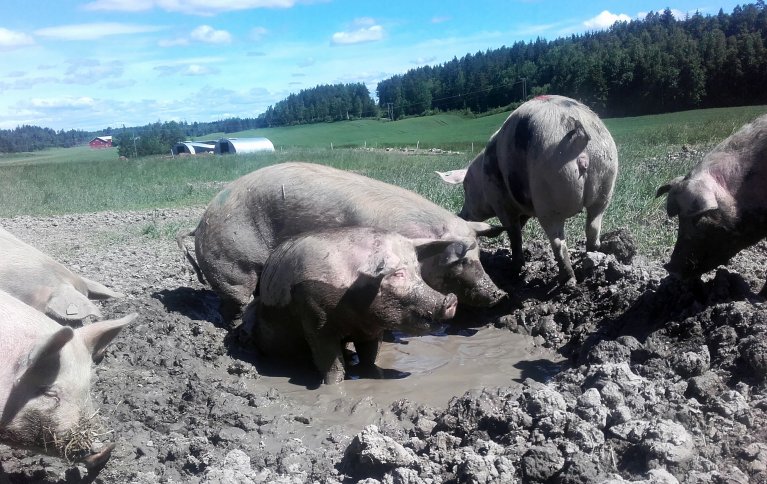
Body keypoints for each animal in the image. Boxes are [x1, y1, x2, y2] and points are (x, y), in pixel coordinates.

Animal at [177, 163, 508, 322]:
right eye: (458, 260)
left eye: (480, 255)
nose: (499, 293)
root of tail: (199, 225)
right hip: (232, 268)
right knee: (234, 304)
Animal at [242, 228, 456, 386]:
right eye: (398, 274)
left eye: (418, 271)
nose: (451, 300)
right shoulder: (315, 320)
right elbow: (331, 362)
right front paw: (333, 386)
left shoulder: (373, 329)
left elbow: (370, 355)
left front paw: (374, 373)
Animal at [438, 94, 616, 284]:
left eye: (465, 187)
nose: (460, 215)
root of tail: (579, 135)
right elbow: (519, 227)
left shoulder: (501, 203)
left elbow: (514, 234)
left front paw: (514, 270)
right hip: (605, 183)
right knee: (593, 228)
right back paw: (591, 261)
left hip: (549, 194)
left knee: (559, 243)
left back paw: (566, 280)